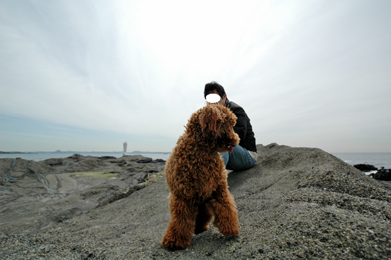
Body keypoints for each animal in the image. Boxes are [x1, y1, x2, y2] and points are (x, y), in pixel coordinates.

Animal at [162, 103, 240, 250]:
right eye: (229, 124)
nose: (237, 140)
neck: (202, 149)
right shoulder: (183, 197)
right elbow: (181, 220)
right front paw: (175, 241)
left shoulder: (219, 189)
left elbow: (226, 207)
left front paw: (231, 229)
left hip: (203, 201)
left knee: (204, 215)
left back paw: (200, 228)